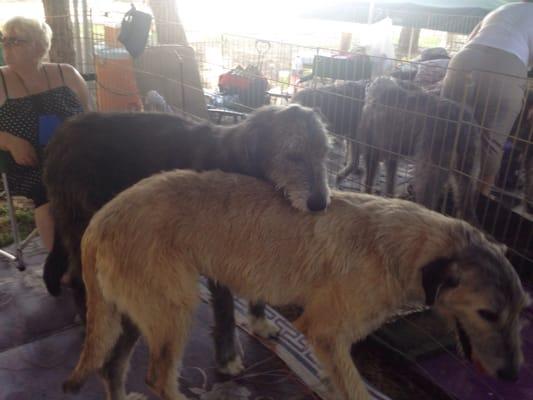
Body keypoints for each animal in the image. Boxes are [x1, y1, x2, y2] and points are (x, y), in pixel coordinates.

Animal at [62, 170, 528, 400]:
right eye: (488, 314)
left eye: (520, 313)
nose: (510, 376)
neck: (402, 247)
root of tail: (100, 220)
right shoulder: (326, 333)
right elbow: (356, 391)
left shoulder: (332, 347)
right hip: (173, 312)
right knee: (158, 379)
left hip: (134, 316)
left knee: (111, 366)